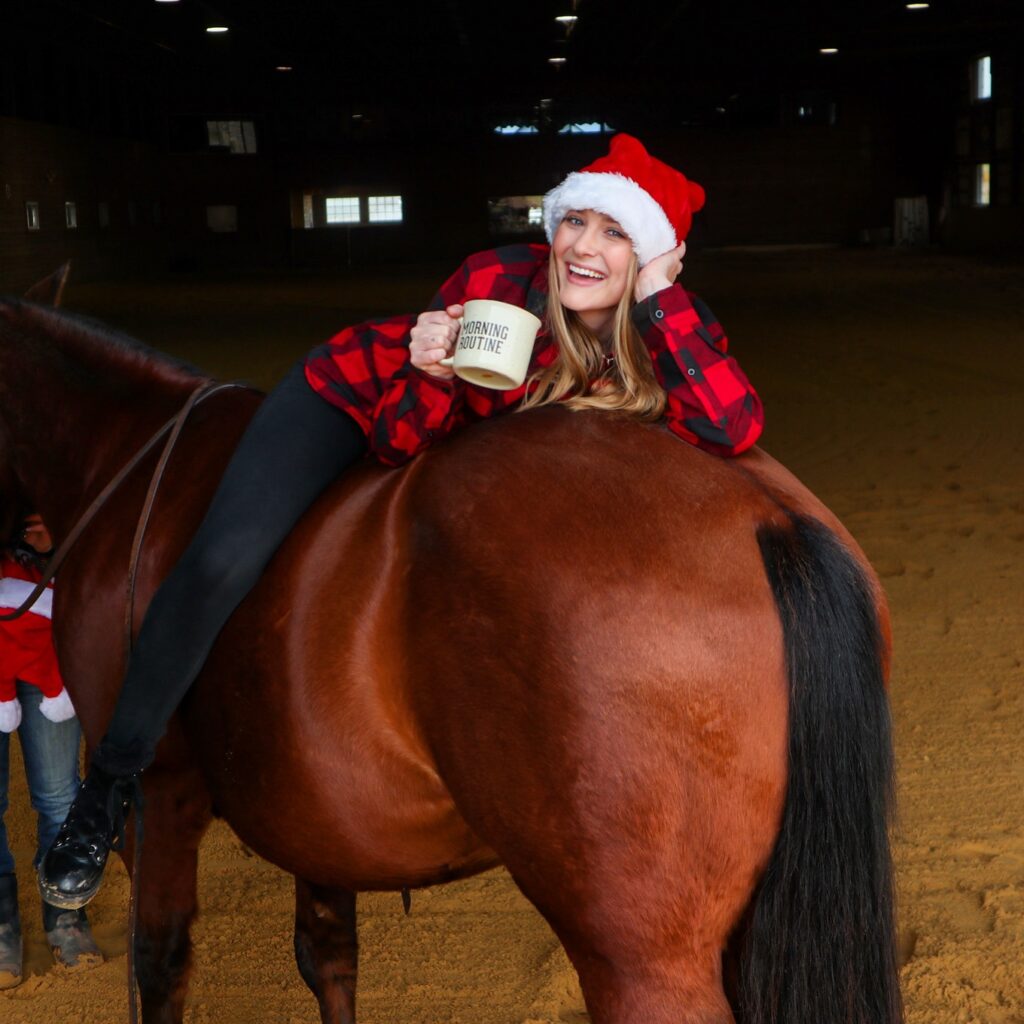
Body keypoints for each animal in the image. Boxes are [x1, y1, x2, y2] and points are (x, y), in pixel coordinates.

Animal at [0, 296, 901, 1024]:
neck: (125, 458)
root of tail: (763, 518)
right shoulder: (316, 819)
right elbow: (328, 960)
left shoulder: (159, 799)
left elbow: (160, 968)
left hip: (645, 959)